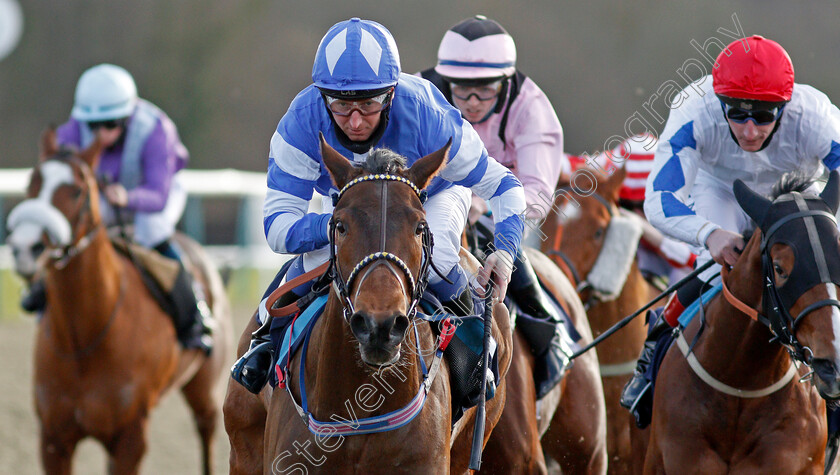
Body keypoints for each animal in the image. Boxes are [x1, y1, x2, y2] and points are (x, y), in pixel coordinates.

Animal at [8, 128, 235, 474]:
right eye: (29, 185)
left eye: (76, 190)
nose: (24, 247)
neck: (85, 340)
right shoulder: (53, 438)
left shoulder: (130, 437)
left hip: (205, 390)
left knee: (208, 434)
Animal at [221, 136, 512, 474]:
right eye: (340, 226)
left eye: (419, 227)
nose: (380, 326)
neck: (360, 411)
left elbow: (502, 182)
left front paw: (500, 264)